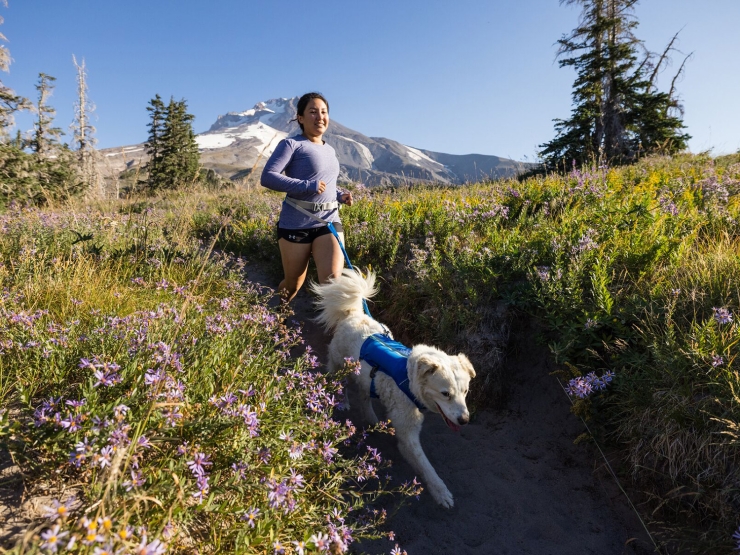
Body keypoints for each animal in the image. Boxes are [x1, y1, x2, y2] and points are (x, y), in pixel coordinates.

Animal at [310, 270, 474, 508]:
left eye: (465, 392)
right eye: (446, 394)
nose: (464, 421)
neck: (408, 379)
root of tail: (353, 314)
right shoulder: (407, 431)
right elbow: (426, 466)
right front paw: (441, 492)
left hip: (364, 377)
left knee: (364, 396)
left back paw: (371, 418)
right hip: (338, 365)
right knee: (340, 384)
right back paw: (343, 401)